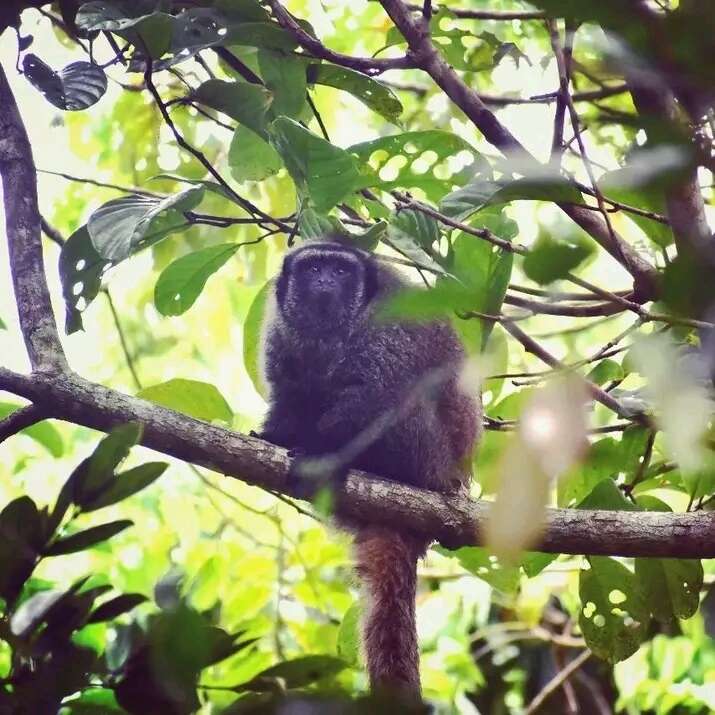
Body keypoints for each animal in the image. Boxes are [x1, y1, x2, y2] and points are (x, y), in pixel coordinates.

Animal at [258, 241, 482, 704]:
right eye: (313, 269)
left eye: (342, 271)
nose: (326, 280)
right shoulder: (281, 335)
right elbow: (291, 396)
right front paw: (273, 435)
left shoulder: (388, 322)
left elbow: (371, 398)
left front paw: (319, 454)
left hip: (426, 457)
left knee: (400, 396)